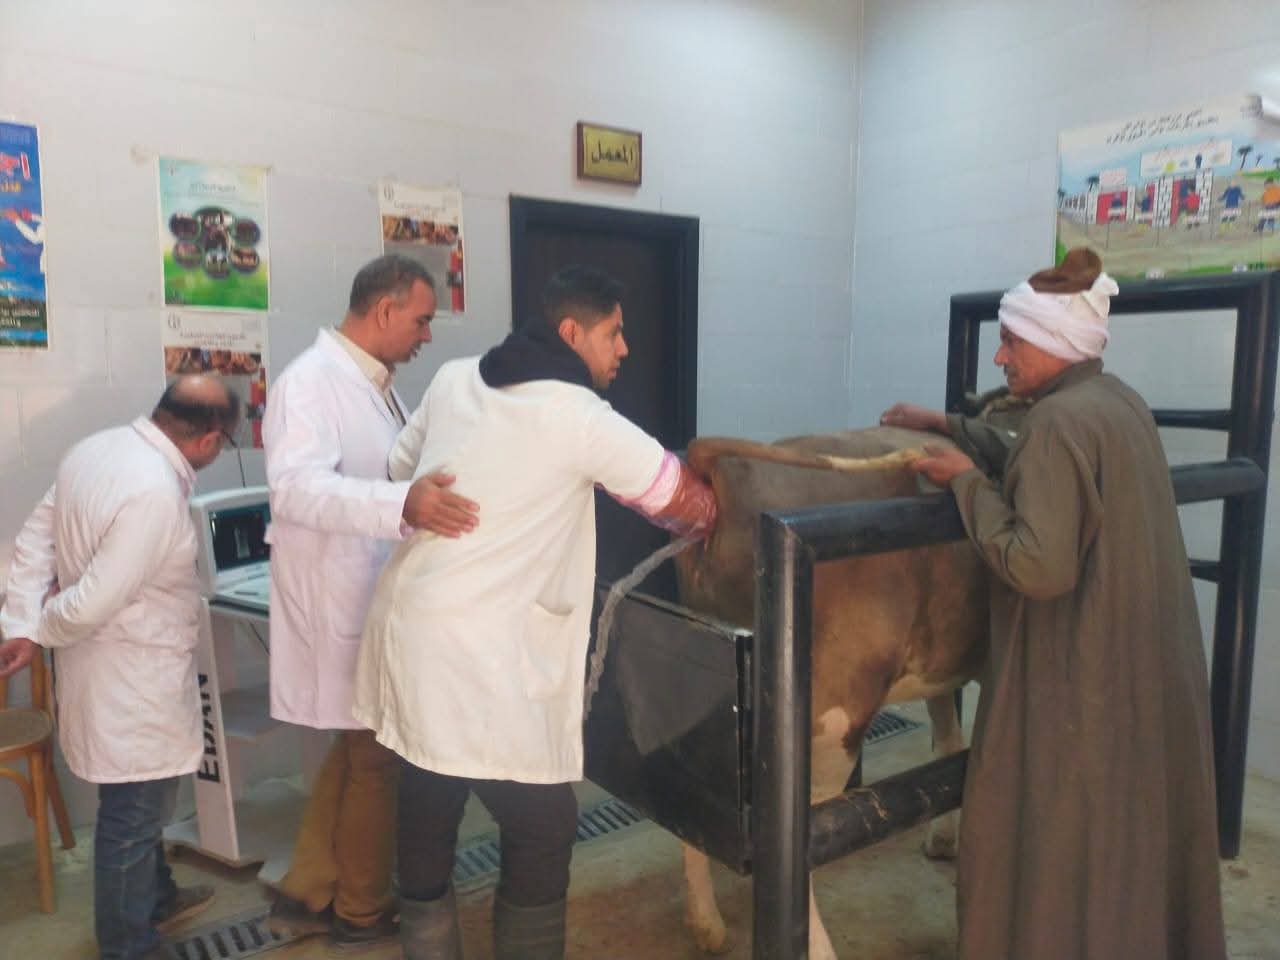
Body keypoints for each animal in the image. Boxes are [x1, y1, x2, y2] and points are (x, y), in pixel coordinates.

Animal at [672, 425, 992, 960]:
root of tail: (723, 466)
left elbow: (950, 740)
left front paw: (943, 839)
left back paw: (705, 924)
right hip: (832, 713)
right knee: (807, 828)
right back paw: (817, 948)